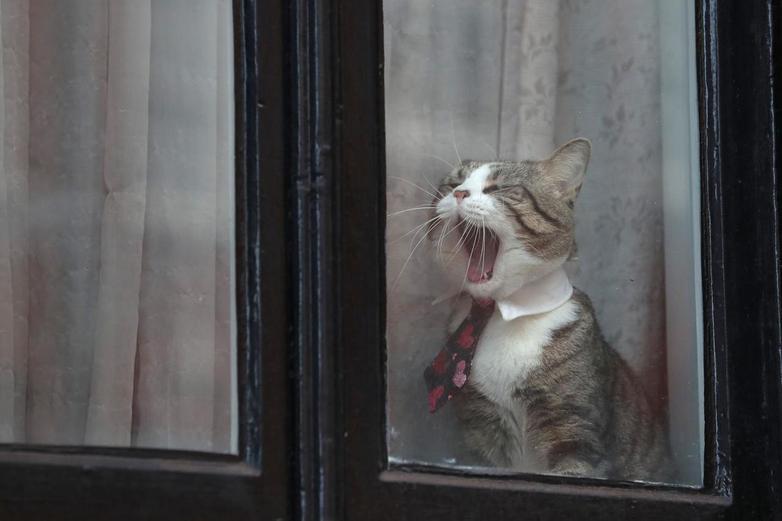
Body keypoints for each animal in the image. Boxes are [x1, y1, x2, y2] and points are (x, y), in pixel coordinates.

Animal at [426, 137, 676, 480]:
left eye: (499, 187)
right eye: (451, 184)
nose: (459, 193)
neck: (500, 316)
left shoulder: (573, 426)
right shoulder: (479, 427)